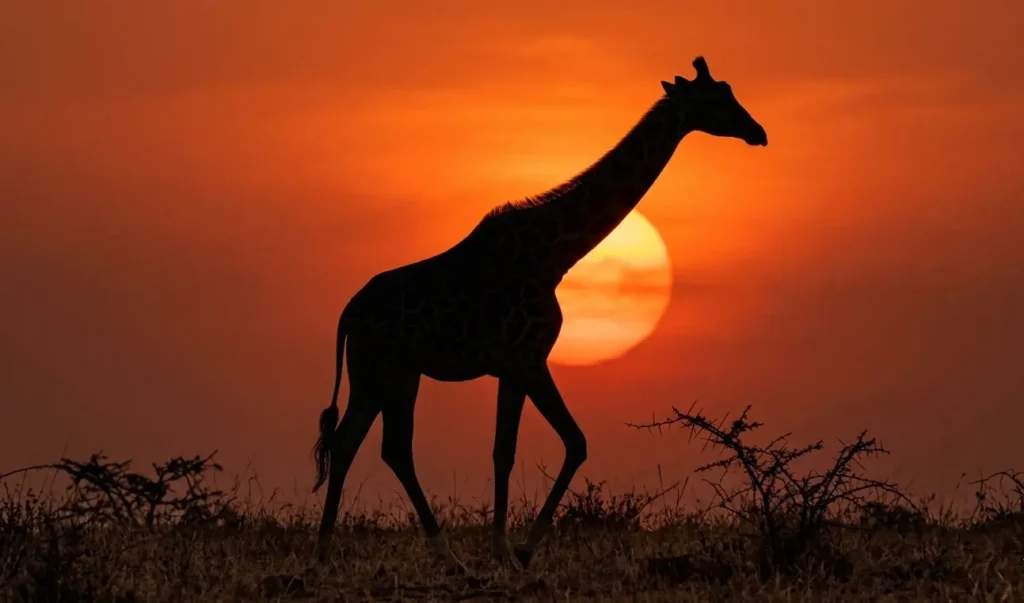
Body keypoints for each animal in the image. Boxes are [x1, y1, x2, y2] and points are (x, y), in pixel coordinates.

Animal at [311, 57, 767, 573]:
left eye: (730, 91)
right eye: (717, 98)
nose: (758, 132)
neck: (554, 256)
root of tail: (348, 314)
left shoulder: (515, 366)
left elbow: (513, 449)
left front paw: (508, 549)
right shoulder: (527, 359)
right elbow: (557, 443)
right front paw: (515, 551)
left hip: (379, 372)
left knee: (353, 442)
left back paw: (325, 555)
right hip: (391, 369)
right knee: (386, 446)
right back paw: (445, 557)